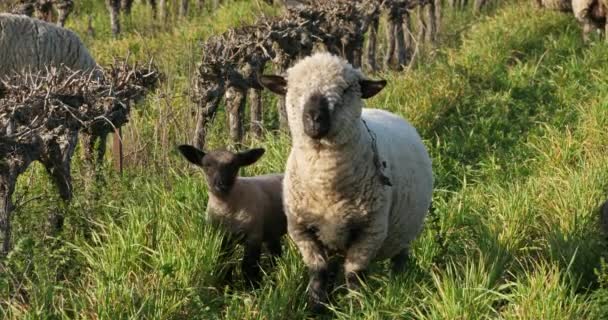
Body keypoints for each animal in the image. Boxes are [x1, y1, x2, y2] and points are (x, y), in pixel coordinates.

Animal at [178, 144, 288, 284]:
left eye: (234, 166)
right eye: (207, 165)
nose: (221, 184)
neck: (228, 209)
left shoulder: (253, 236)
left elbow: (249, 267)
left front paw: (252, 286)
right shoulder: (222, 237)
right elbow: (224, 263)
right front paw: (227, 284)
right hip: (271, 230)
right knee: (276, 254)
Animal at [258, 52, 434, 312]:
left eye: (344, 90)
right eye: (294, 89)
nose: (314, 118)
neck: (326, 185)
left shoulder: (370, 230)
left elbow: (354, 273)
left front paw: (358, 306)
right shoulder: (301, 229)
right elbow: (318, 270)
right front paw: (315, 305)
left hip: (404, 230)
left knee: (400, 256)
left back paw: (401, 281)